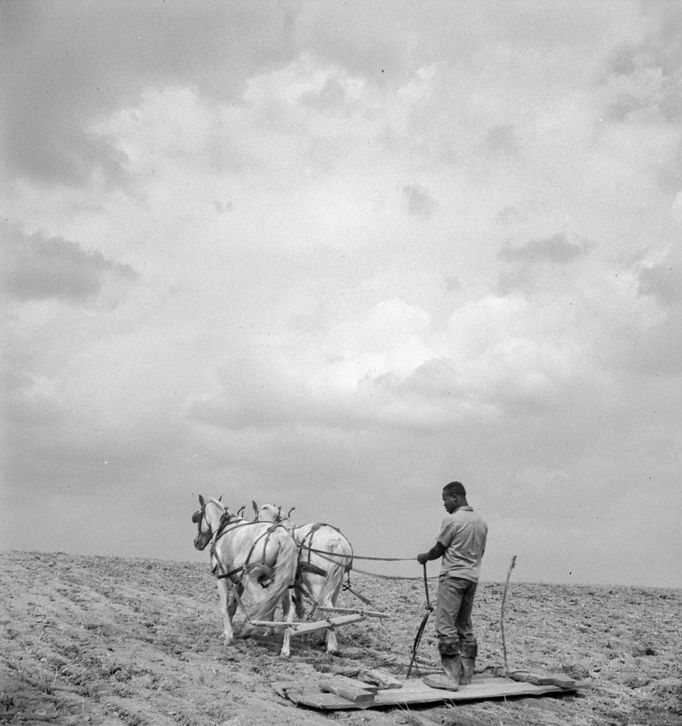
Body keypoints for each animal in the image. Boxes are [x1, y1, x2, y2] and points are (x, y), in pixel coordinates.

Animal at [191, 498, 298, 656]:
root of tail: (281, 537)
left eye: (198, 516)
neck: (224, 528)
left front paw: (228, 636)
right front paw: (225, 632)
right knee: (288, 612)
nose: (196, 542)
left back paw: (250, 629)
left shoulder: (221, 577)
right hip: (283, 583)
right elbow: (232, 607)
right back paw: (285, 649)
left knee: (263, 603)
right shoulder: (239, 582)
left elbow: (224, 607)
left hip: (251, 578)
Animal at [252, 504, 354, 656]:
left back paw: (331, 647)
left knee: (326, 607)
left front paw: (270, 631)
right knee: (331, 607)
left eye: (258, 517)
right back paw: (324, 638)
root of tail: (336, 542)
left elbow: (275, 605)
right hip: (336, 583)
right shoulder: (296, 582)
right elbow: (299, 604)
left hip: (316, 583)